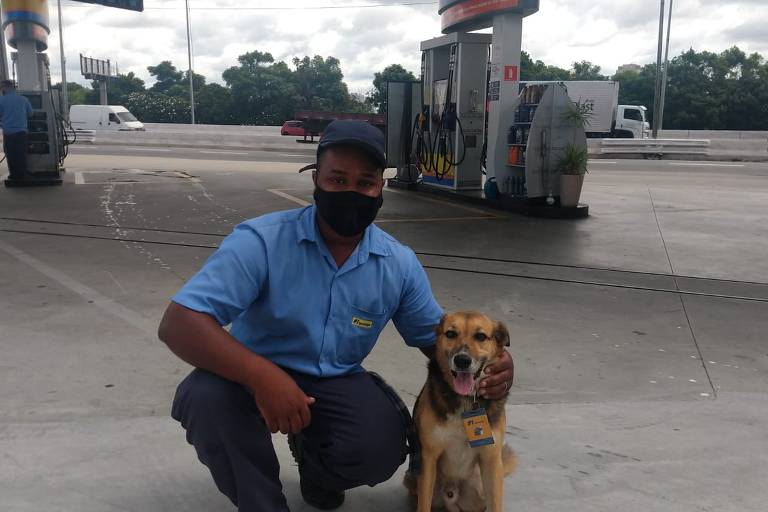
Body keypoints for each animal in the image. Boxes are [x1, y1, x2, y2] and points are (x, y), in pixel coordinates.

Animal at [404, 312, 520, 512]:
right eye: (451, 334)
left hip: (478, 485)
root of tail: (451, 495)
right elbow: (423, 504)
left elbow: (496, 505)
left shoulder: (491, 461)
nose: (462, 361)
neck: (466, 401)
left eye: (480, 336)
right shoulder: (428, 458)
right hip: (413, 478)